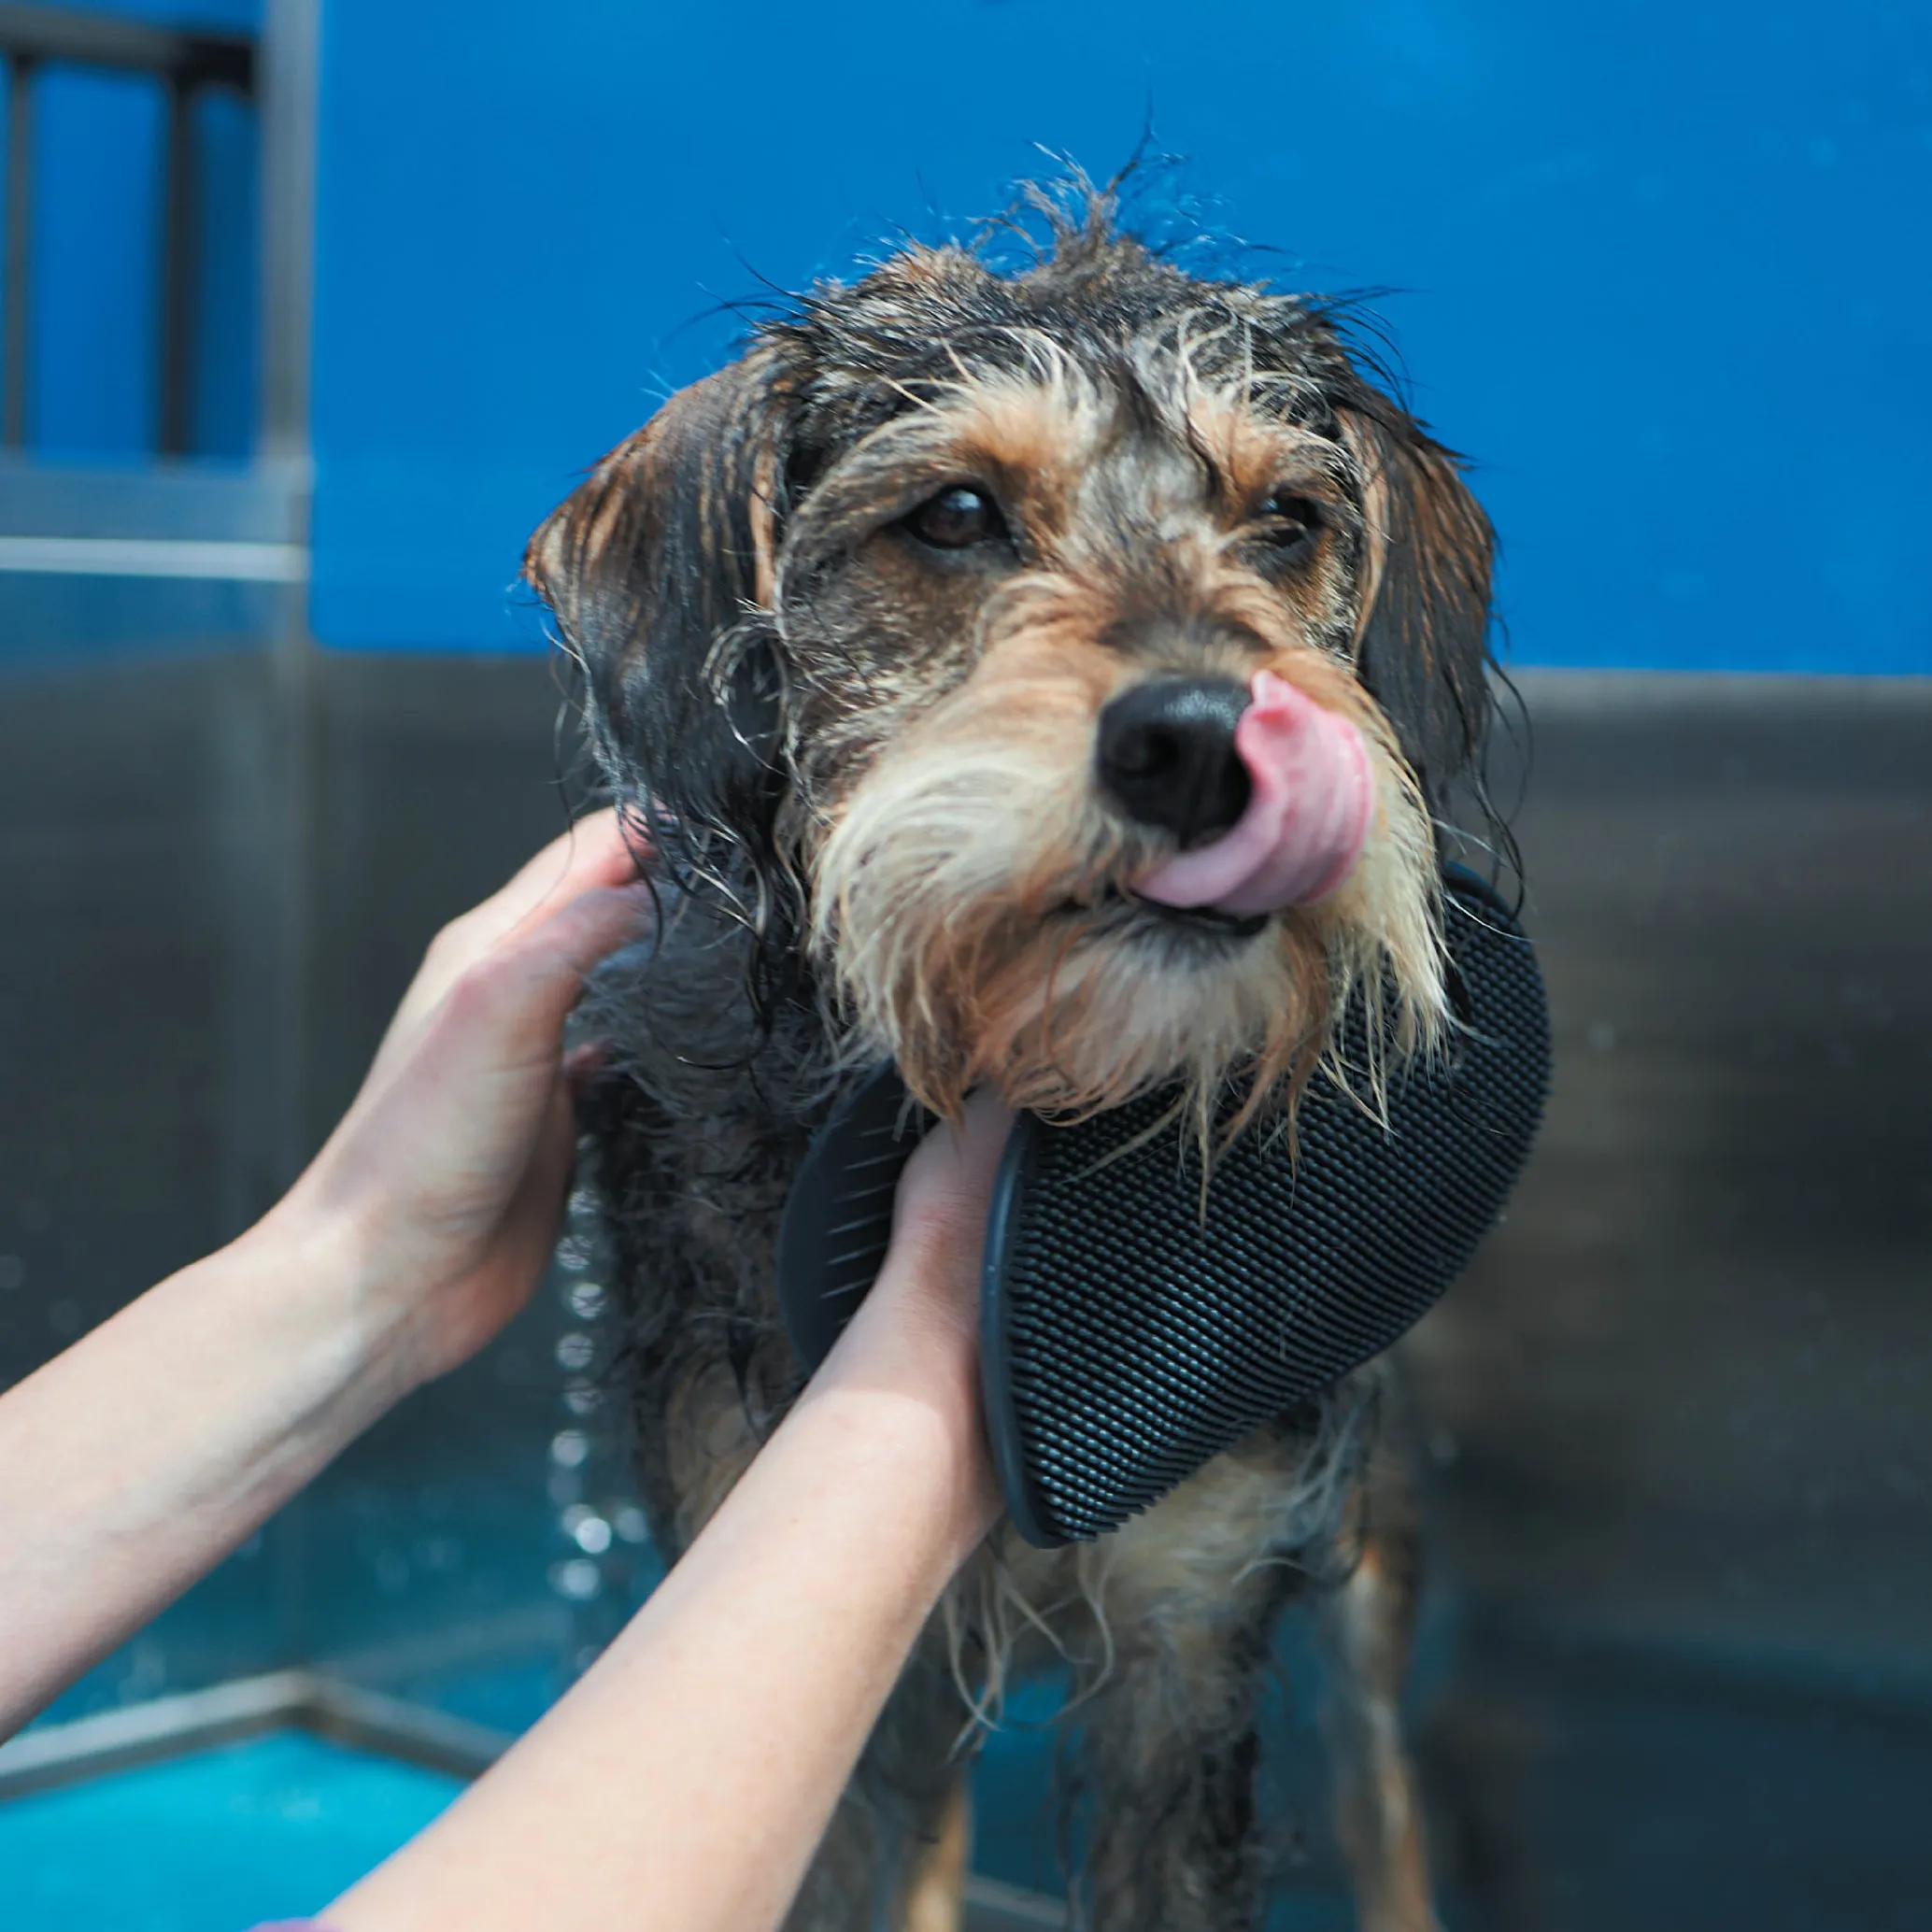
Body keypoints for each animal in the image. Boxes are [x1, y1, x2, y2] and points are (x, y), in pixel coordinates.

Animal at [525, 184, 1491, 1932]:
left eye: (1284, 522)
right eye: (957, 513)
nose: (1199, 739)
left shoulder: (1192, 1624)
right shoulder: (783, 1611)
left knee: (1386, 1807)